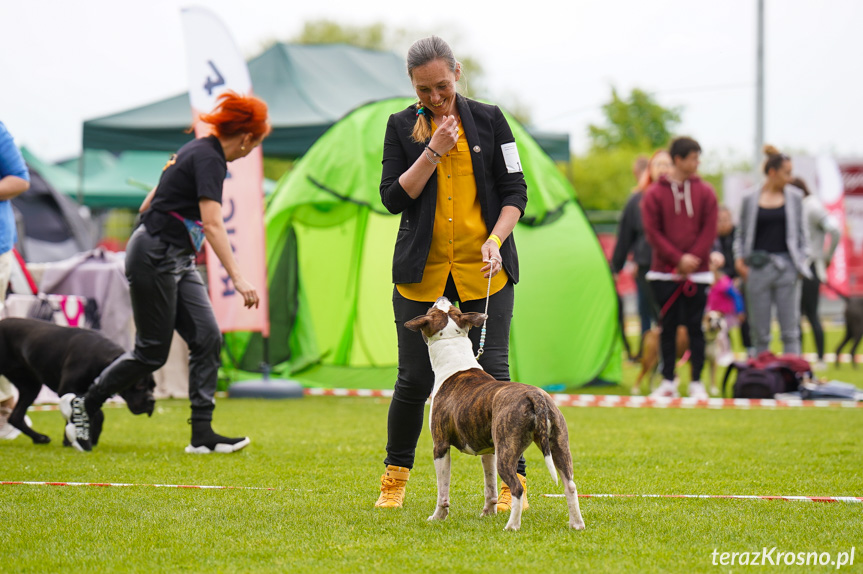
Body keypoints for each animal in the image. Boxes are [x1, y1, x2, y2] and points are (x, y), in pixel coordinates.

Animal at [0, 320, 155, 446]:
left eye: (153, 387)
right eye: (140, 385)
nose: (152, 400)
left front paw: (77, 439)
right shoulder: (68, 389)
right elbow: (93, 412)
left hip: (30, 386)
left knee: (15, 417)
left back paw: (39, 438)